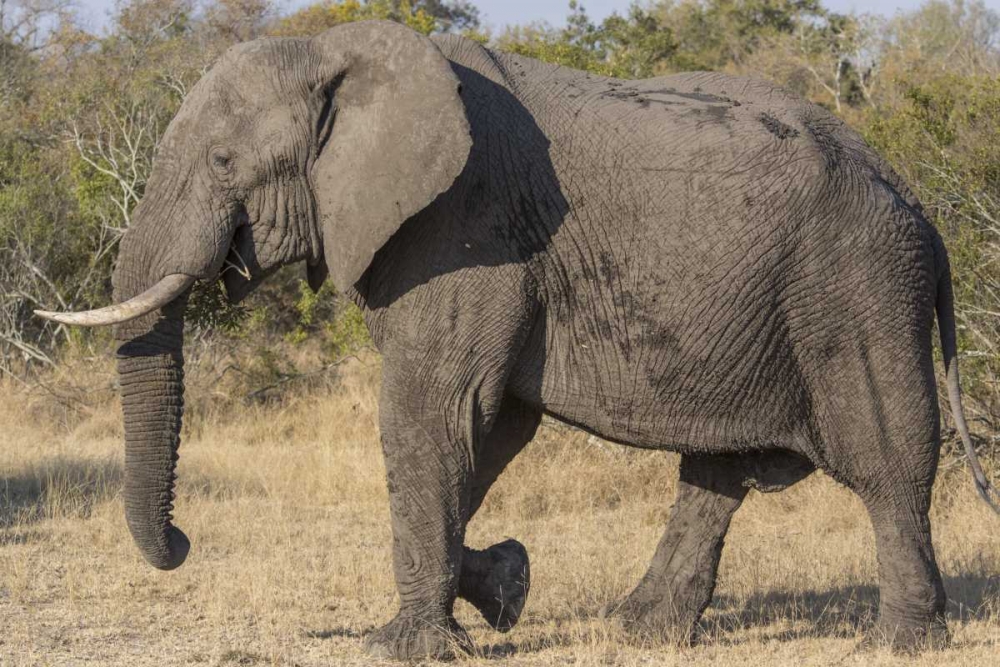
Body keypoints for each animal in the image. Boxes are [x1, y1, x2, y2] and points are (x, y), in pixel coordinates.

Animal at [37, 20, 1000, 661]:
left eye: (225, 164)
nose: (183, 543)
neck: (340, 54)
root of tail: (925, 212)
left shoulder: (465, 227)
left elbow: (436, 411)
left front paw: (408, 644)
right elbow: (487, 427)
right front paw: (506, 584)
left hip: (857, 288)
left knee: (884, 460)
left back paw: (903, 640)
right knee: (718, 472)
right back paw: (640, 629)